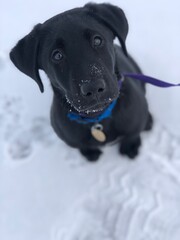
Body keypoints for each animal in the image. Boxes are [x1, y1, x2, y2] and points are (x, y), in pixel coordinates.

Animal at [9, 2, 153, 161]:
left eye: (97, 40)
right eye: (57, 55)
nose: (94, 88)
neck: (97, 118)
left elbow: (132, 134)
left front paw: (131, 147)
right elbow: (83, 146)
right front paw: (90, 153)